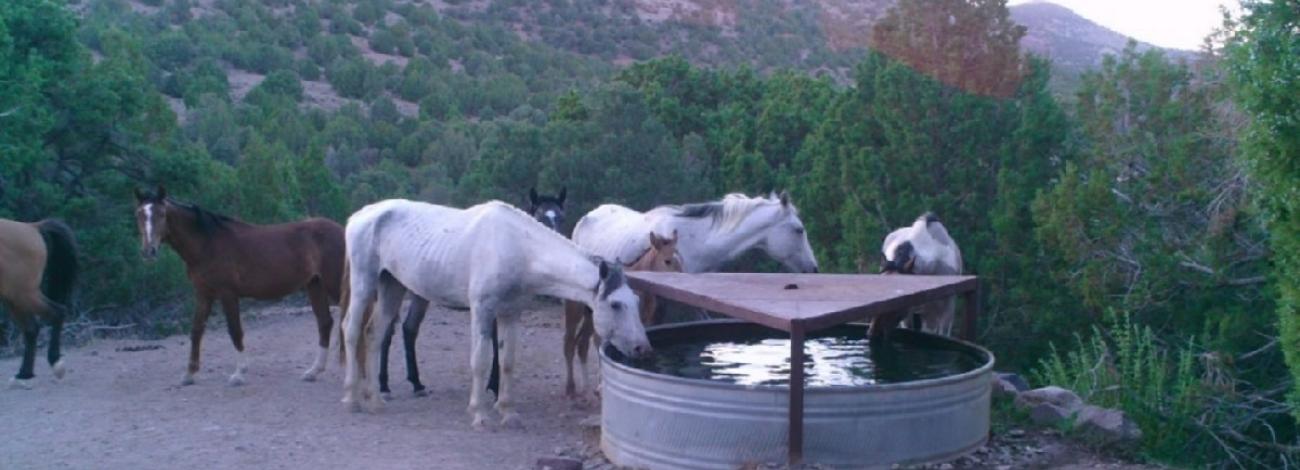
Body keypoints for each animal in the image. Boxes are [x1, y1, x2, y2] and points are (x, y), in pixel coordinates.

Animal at [0, 218, 77, 386]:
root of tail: (33, 227)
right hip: (14, 298)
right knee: (31, 329)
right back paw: (25, 373)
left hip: (25, 295)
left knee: (57, 312)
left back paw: (55, 363)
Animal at [133, 186, 345, 384]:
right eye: (139, 214)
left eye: (162, 214)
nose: (148, 251)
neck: (208, 244)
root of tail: (343, 229)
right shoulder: (203, 294)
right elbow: (196, 330)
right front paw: (189, 374)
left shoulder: (227, 293)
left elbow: (235, 330)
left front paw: (239, 374)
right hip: (315, 285)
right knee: (325, 322)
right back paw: (313, 371)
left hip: (334, 285)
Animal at [335, 199, 650, 428]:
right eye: (616, 305)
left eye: (636, 300)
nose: (642, 348)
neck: (517, 248)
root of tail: (360, 215)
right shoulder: (482, 311)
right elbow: (481, 361)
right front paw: (479, 414)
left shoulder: (511, 313)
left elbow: (507, 361)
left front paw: (508, 413)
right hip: (365, 283)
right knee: (351, 330)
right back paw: (351, 398)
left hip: (392, 287)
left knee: (374, 335)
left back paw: (375, 400)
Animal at [561, 229, 686, 397]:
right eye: (667, 261)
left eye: (681, 260)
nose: (683, 283)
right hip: (574, 312)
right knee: (569, 343)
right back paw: (571, 388)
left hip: (591, 318)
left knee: (582, 345)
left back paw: (587, 388)